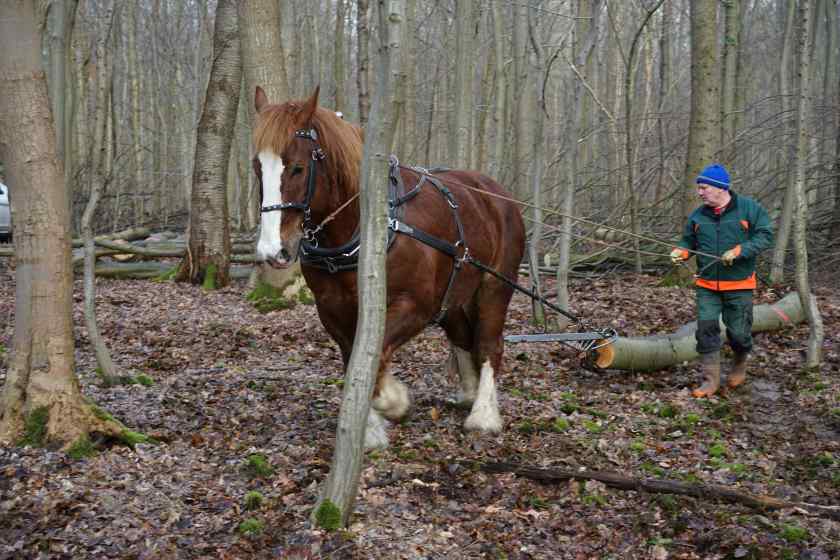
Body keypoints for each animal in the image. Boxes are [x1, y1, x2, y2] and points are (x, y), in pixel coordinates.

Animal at [252, 86, 525, 448]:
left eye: (297, 168)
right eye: (258, 168)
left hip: (495, 286)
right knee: (462, 335)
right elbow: (355, 364)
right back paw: (468, 394)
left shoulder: (415, 306)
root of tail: (495, 192)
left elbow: (377, 355)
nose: (272, 250)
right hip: (454, 293)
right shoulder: (333, 310)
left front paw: (393, 401)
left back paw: (483, 415)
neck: (366, 227)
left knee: (489, 343)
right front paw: (367, 429)